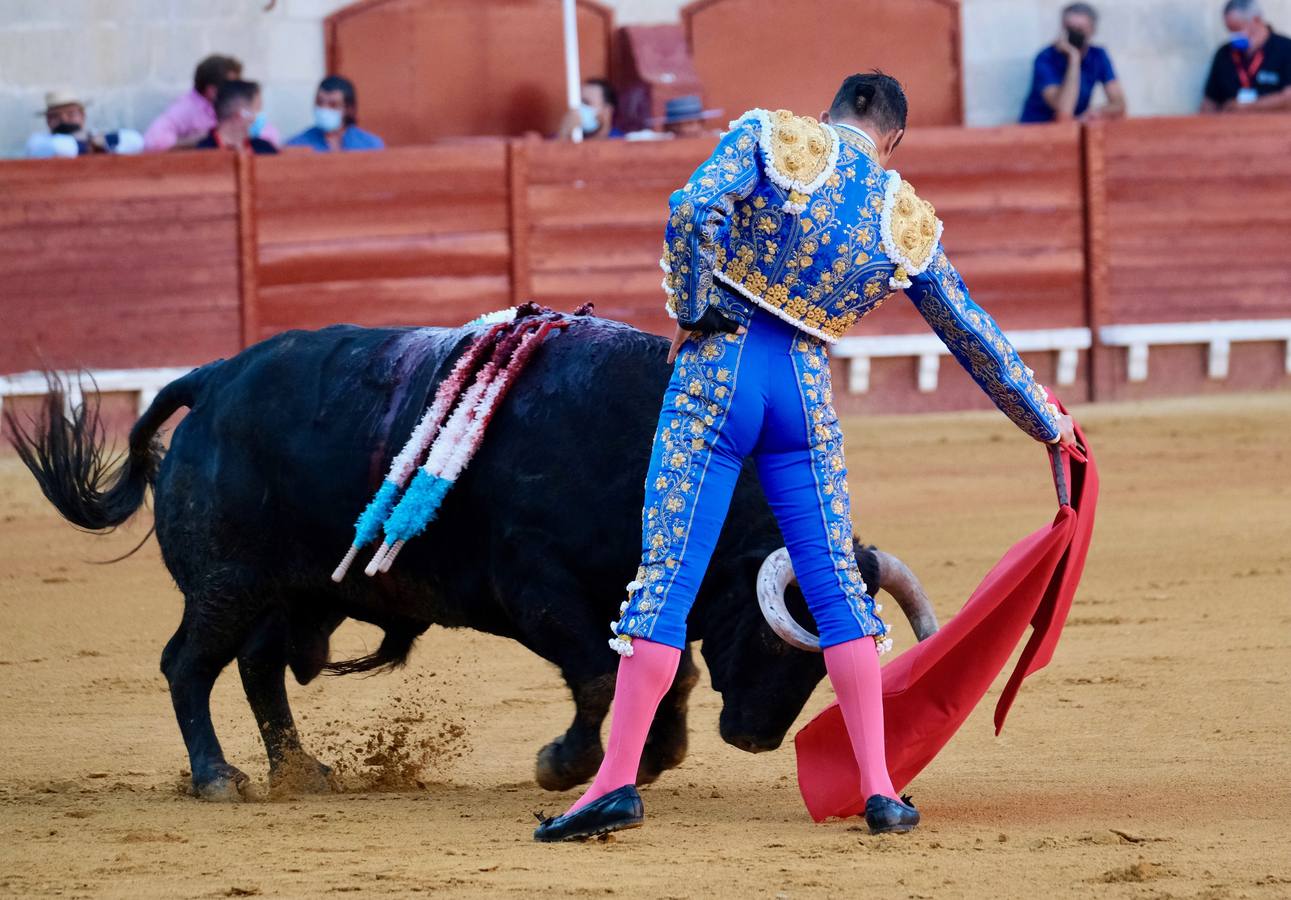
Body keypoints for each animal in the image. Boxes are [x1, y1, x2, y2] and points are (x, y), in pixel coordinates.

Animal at [15, 317, 934, 800]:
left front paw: (648, 757)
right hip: (226, 582)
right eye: (782, 640)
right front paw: (566, 766)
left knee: (257, 667)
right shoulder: (535, 587)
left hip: (288, 592)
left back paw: (302, 770)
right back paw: (218, 777)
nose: (752, 739)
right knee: (188, 665)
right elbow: (602, 675)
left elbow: (663, 670)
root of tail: (211, 379)